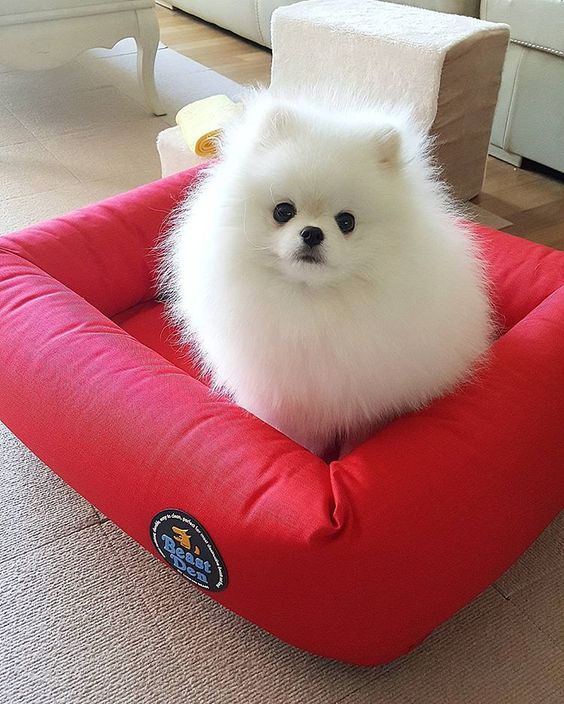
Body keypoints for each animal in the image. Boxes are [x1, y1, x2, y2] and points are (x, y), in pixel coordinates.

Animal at [160, 91, 494, 460]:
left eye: (346, 222)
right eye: (283, 211)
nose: (312, 233)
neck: (310, 303)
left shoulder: (364, 399)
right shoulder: (284, 396)